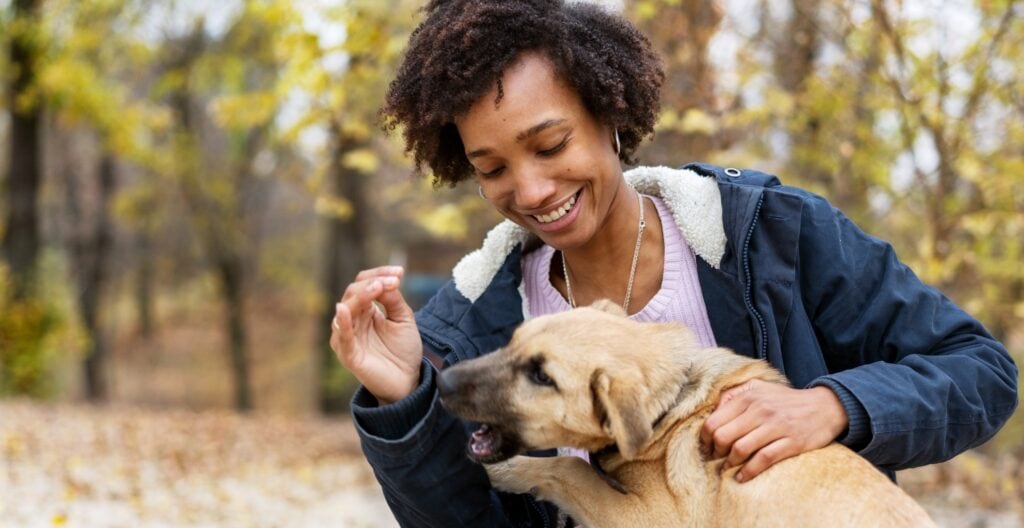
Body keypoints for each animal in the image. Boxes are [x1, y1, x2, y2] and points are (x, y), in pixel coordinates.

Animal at [438, 300, 937, 528]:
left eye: (542, 376)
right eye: (511, 342)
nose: (441, 383)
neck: (670, 406)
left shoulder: (650, 519)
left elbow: (567, 469)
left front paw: (506, 472)